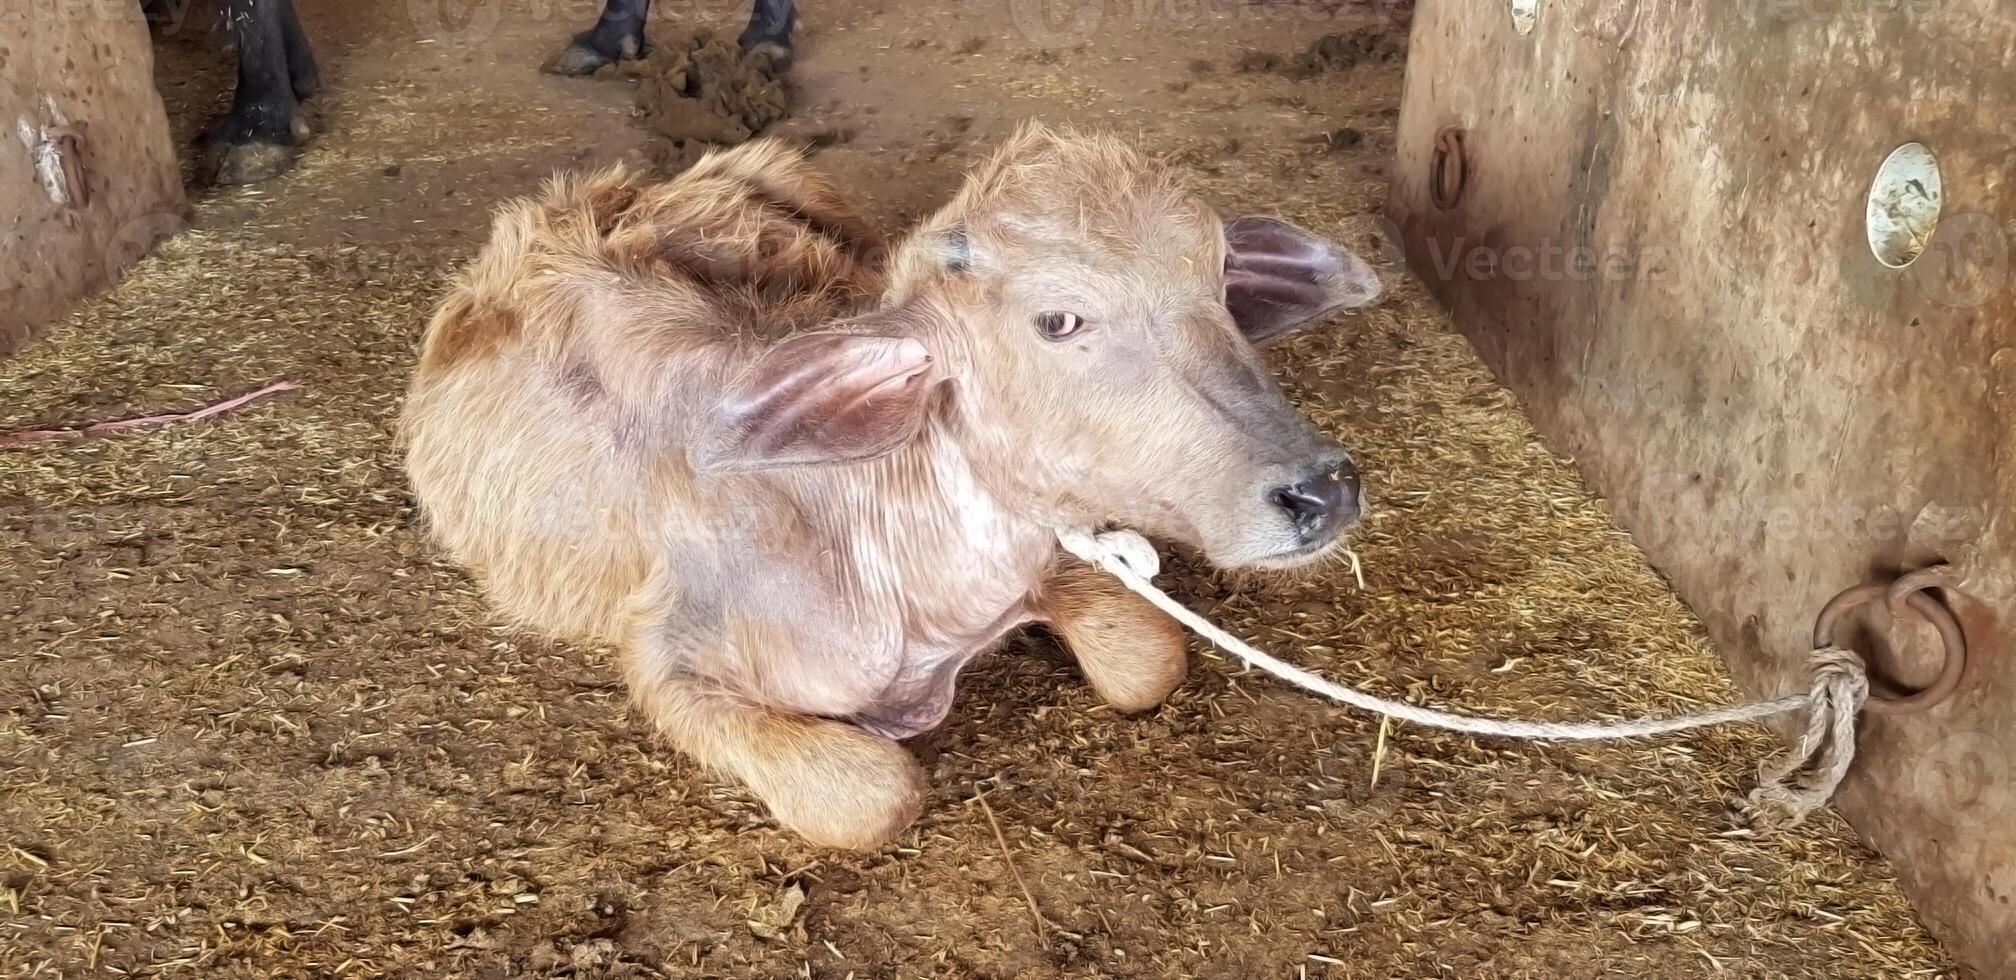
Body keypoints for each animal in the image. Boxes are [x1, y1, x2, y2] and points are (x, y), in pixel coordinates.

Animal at [409, 120, 1387, 842]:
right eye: (1059, 320)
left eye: (1220, 279)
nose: (1320, 490)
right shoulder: (669, 661)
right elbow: (873, 797)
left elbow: (1146, 659)